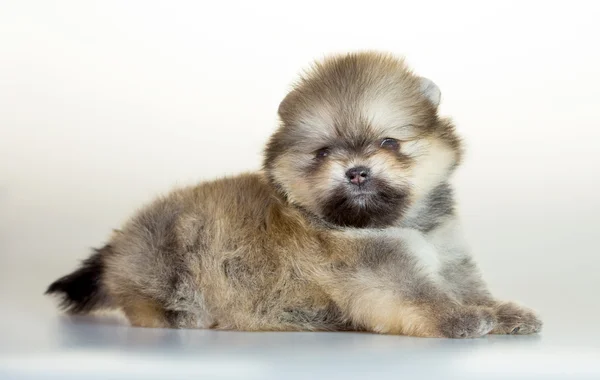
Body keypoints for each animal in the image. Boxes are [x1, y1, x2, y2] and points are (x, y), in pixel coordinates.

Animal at [48, 51, 544, 338]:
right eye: (323, 152)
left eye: (389, 143)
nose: (356, 172)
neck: (396, 226)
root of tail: (119, 243)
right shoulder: (377, 275)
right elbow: (420, 296)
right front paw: (459, 318)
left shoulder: (449, 253)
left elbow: (469, 287)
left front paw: (502, 312)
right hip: (164, 254)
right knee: (143, 303)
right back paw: (182, 314)